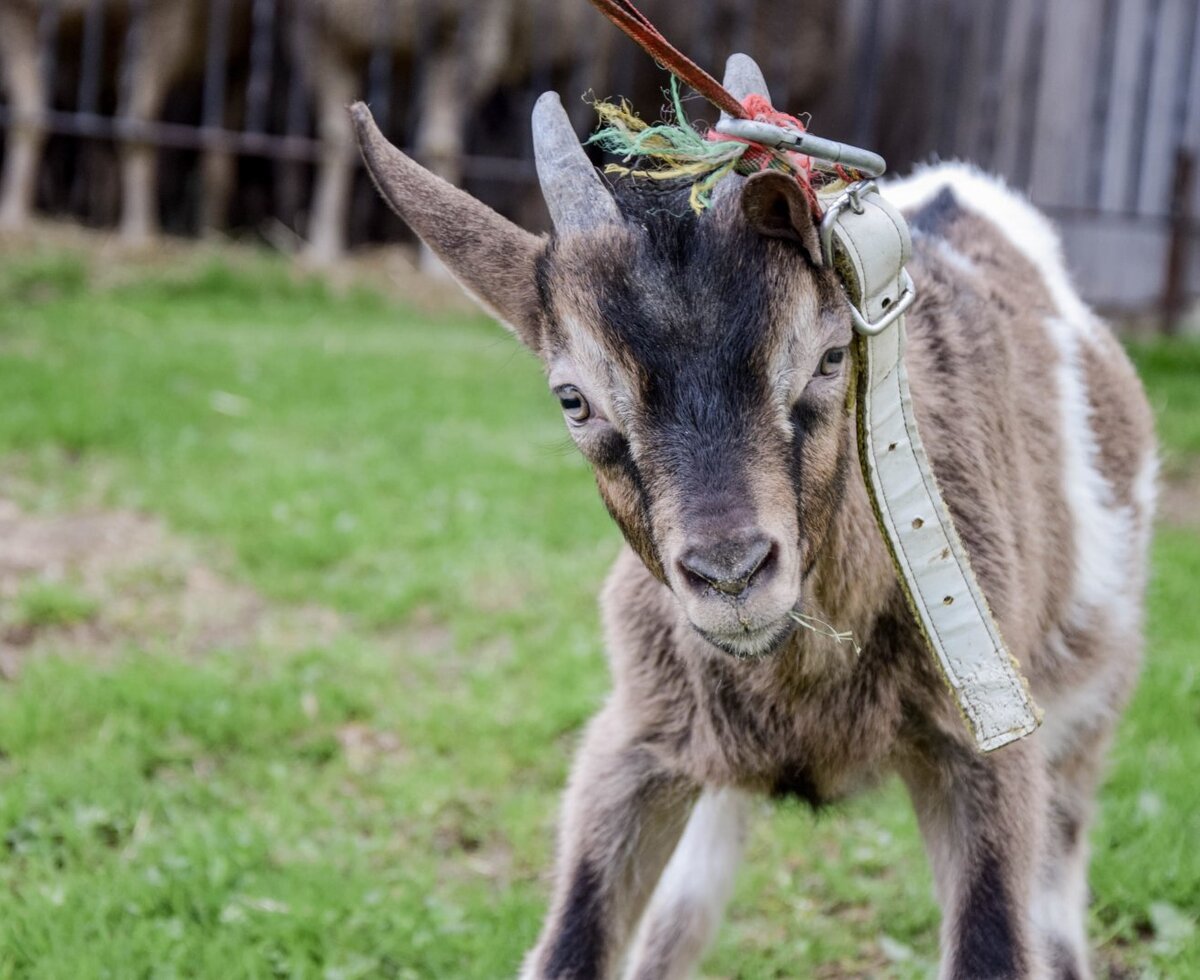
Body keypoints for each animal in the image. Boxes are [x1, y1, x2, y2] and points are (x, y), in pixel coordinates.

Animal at [351, 52, 1156, 980]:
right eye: (572, 398)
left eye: (832, 357)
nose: (731, 573)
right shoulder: (641, 736)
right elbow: (573, 945)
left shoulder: (988, 747)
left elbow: (997, 945)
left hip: (1092, 702)